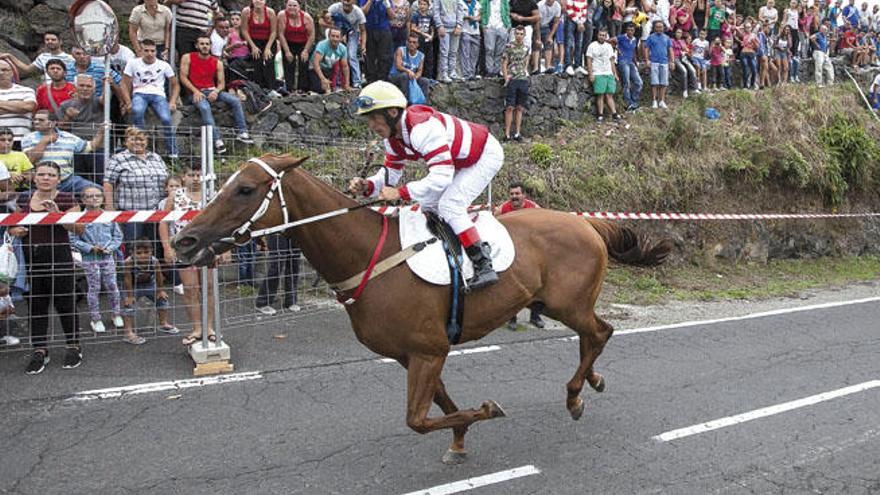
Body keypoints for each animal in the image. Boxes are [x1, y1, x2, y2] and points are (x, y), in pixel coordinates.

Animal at [172, 154, 672, 464]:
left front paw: (486, 411)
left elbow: (416, 419)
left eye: (245, 189)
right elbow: (440, 404)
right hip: (555, 303)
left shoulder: (428, 351)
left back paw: (574, 394)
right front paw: (460, 440)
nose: (184, 239)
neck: (368, 257)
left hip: (567, 304)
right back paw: (591, 382)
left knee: (600, 332)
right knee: (594, 336)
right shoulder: (413, 353)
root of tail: (585, 223)